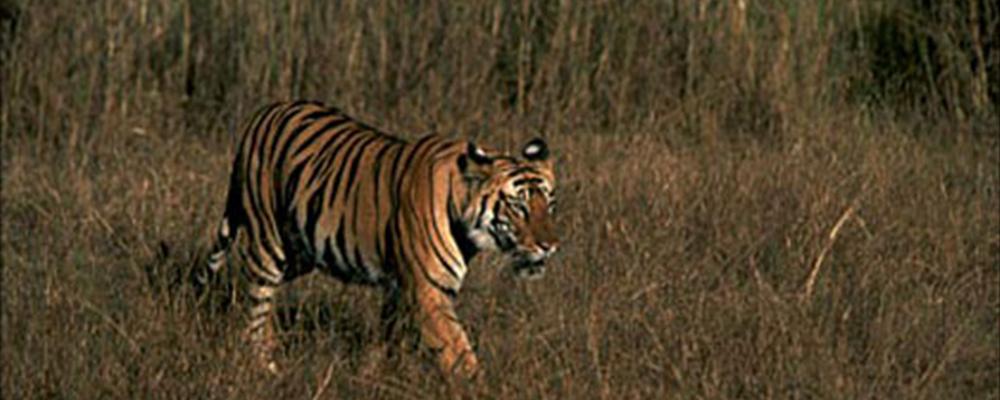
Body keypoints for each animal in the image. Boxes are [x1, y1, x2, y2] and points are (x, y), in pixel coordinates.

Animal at [197, 100, 558, 378]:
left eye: (550, 204)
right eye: (519, 206)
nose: (550, 246)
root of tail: (264, 112)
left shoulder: (400, 287)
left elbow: (390, 338)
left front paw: (377, 372)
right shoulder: (428, 292)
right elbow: (459, 351)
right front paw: (479, 386)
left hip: (300, 251)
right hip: (267, 241)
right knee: (256, 301)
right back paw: (264, 364)